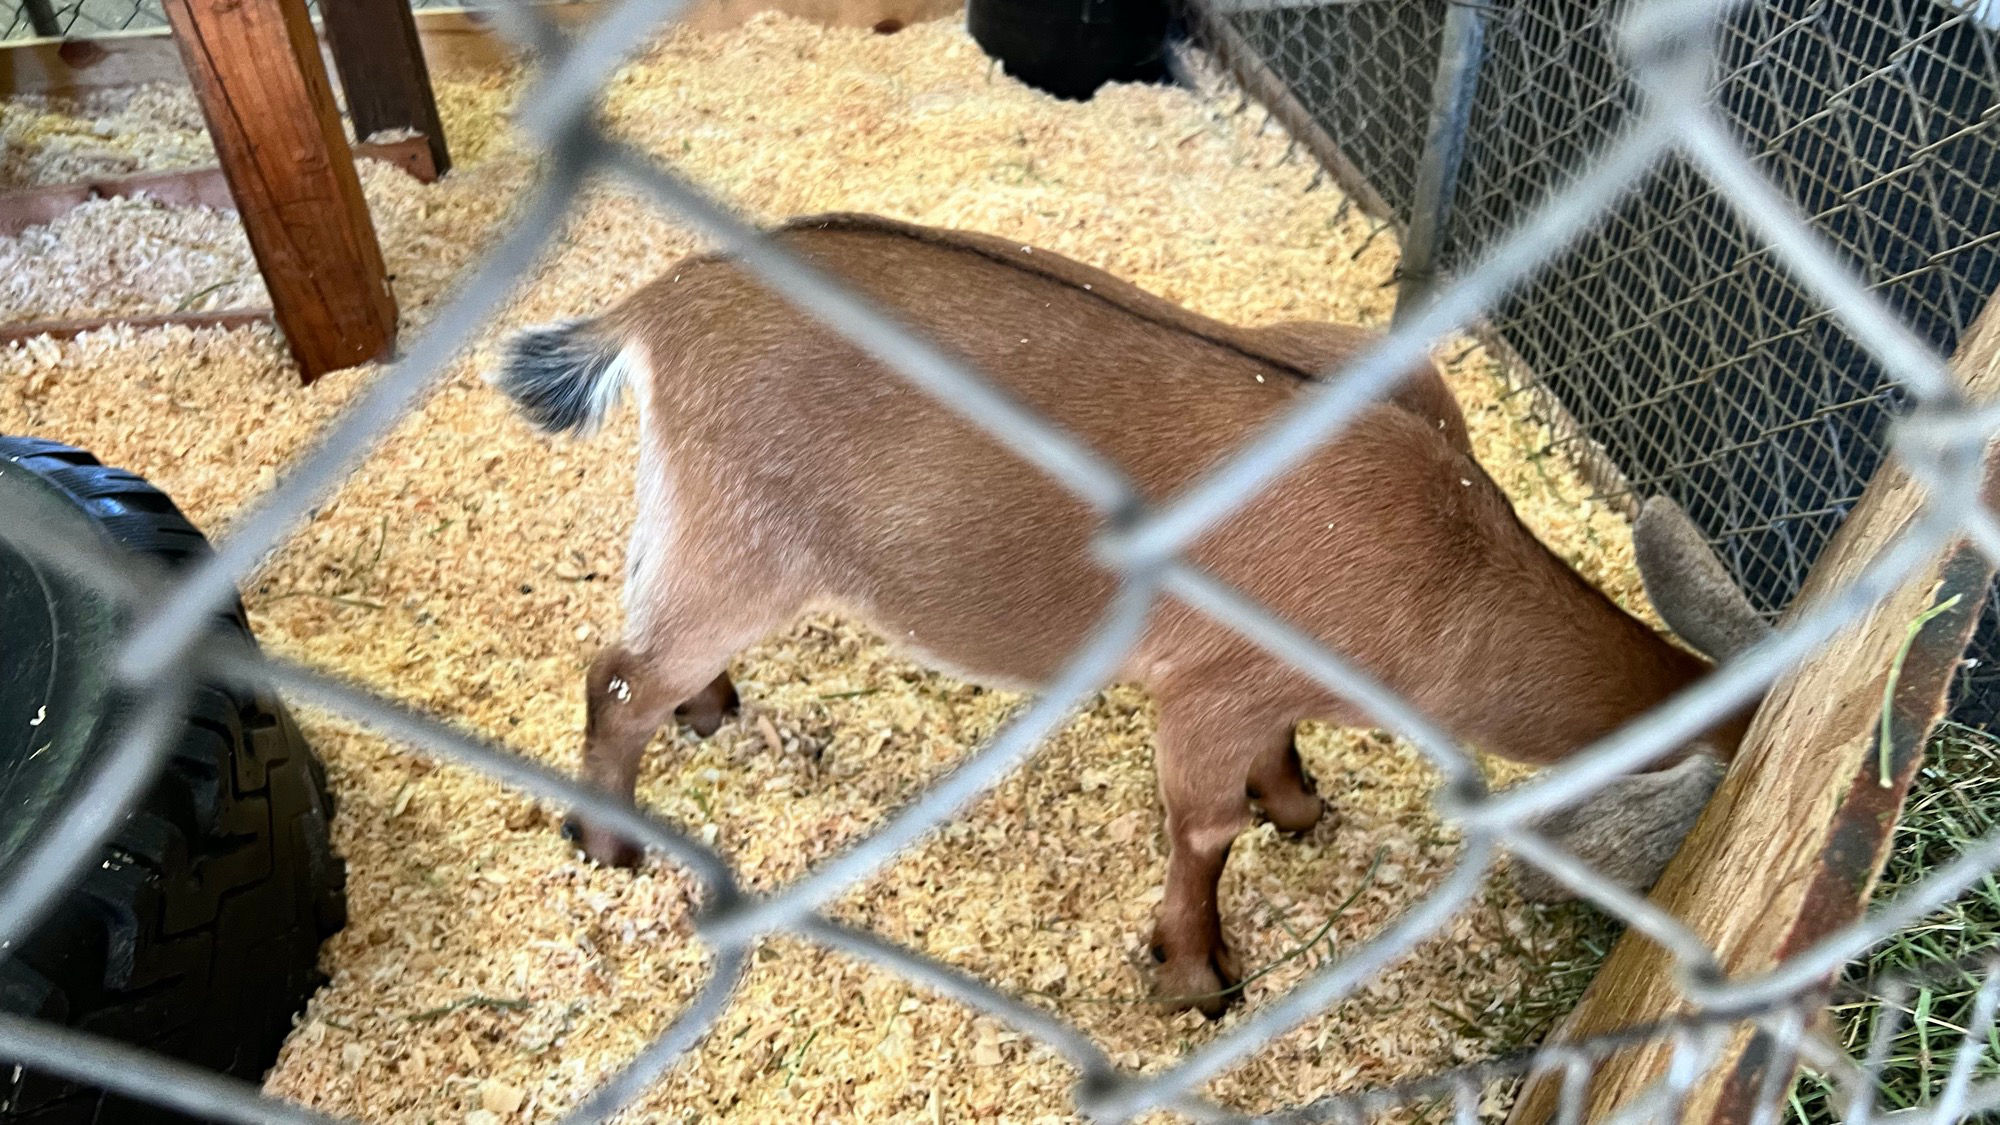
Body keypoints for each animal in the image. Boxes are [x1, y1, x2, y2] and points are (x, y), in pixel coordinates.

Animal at [492, 212, 1760, 1016]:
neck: (1453, 568)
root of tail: (660, 304)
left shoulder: (1262, 688)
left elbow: (1271, 770)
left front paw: (1301, 810)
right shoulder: (1205, 692)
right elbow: (1202, 833)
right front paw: (1196, 977)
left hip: (700, 528)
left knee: (646, 637)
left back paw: (710, 712)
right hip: (747, 549)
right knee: (615, 677)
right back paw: (610, 845)